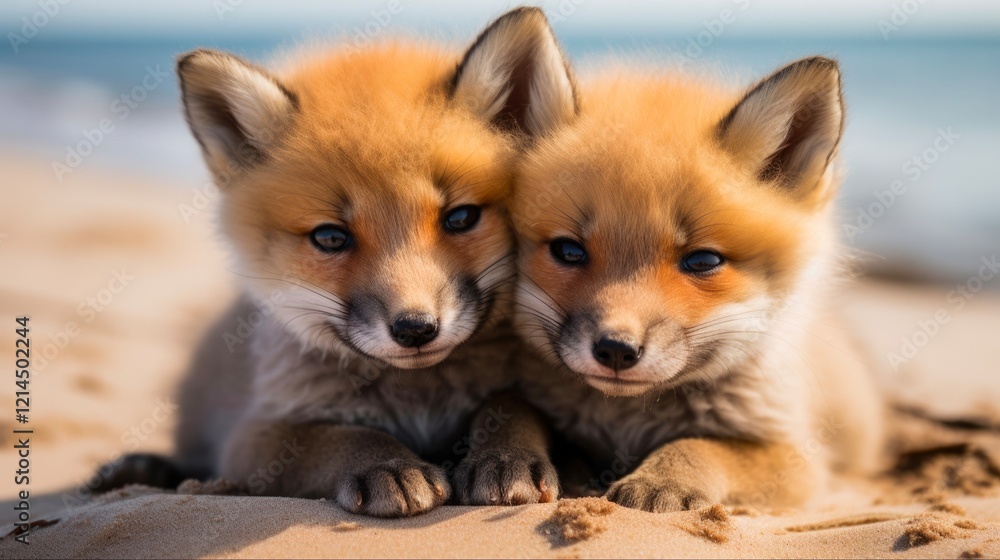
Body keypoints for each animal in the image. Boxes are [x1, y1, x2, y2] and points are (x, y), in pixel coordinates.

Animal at [95, 7, 575, 517]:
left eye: (460, 217)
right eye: (330, 237)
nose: (415, 329)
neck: (419, 400)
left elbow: (512, 406)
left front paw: (504, 456)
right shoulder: (255, 436)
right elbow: (339, 437)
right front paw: (388, 466)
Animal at [500, 55, 887, 511]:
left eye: (702, 261)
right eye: (568, 251)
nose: (616, 350)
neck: (626, 421)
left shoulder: (798, 460)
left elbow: (701, 445)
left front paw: (662, 479)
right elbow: (517, 411)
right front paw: (511, 457)